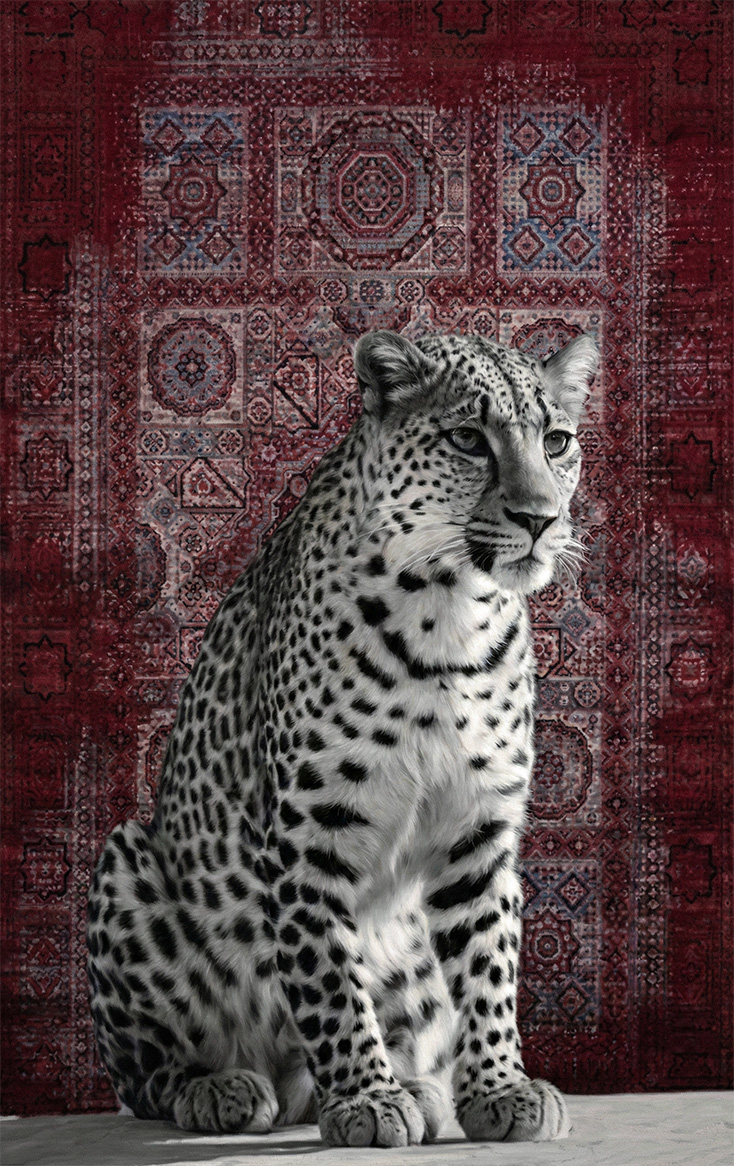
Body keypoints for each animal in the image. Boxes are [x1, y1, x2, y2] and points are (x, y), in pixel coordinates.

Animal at [87, 327, 599, 1148]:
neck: (452, 616)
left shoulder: (478, 829)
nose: (541, 518)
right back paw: (223, 1089)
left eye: (556, 441)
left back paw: (420, 1089)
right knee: (143, 1076)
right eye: (467, 439)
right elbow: (326, 974)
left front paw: (500, 1088)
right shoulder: (309, 833)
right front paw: (364, 1100)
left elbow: (489, 966)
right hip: (125, 861)